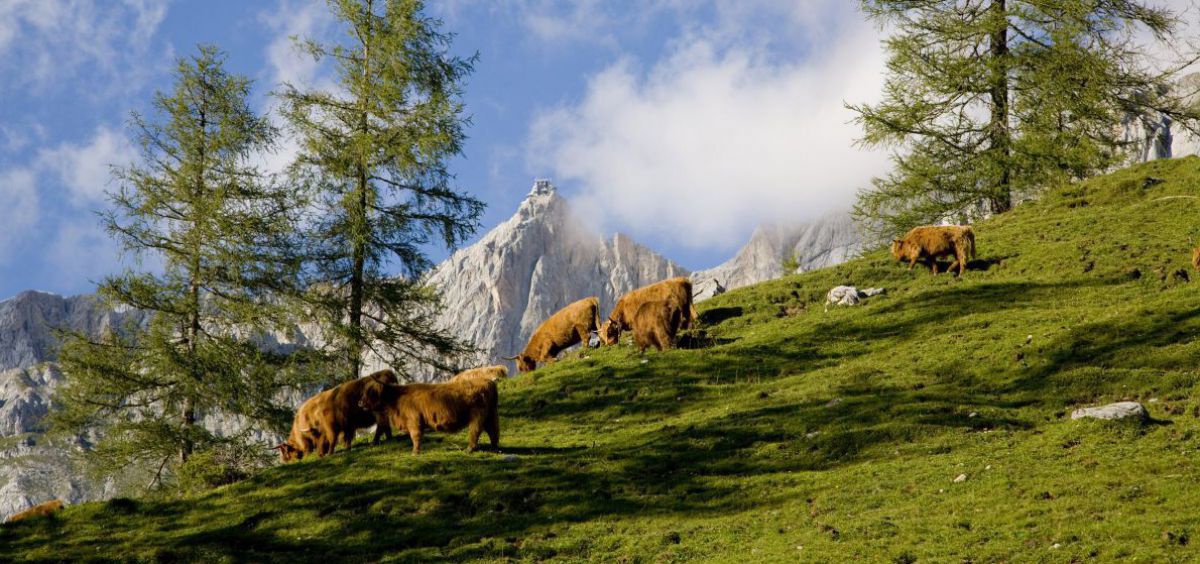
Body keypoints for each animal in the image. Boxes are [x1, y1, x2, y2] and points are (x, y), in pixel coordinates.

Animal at [360, 376, 501, 456]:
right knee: (493, 431)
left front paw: (415, 453)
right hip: (490, 414)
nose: (359, 403)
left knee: (476, 431)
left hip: (478, 415)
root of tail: (488, 381)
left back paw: (470, 449)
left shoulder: (414, 421)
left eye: (371, 392)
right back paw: (494, 449)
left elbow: (415, 436)